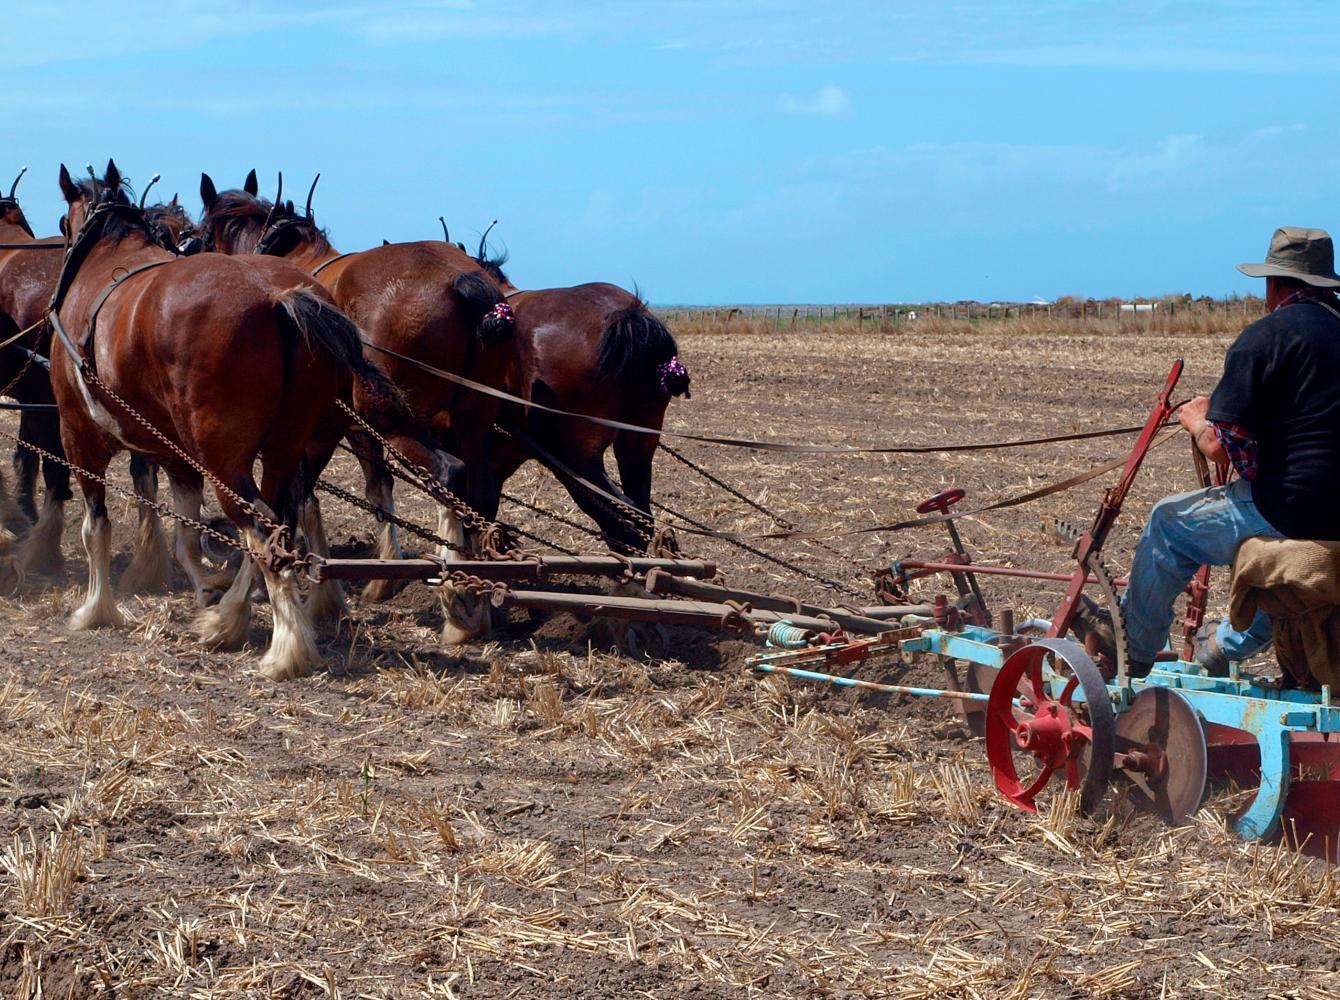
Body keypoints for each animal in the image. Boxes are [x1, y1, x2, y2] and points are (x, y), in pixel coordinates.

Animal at [52, 163, 407, 678]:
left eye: (63, 223)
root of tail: (279, 297)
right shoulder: (175, 455)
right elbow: (186, 538)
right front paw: (206, 592)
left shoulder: (79, 436)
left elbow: (95, 528)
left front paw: (96, 609)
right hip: (283, 450)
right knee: (277, 522)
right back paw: (230, 618)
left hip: (224, 458)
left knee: (260, 530)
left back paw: (284, 647)